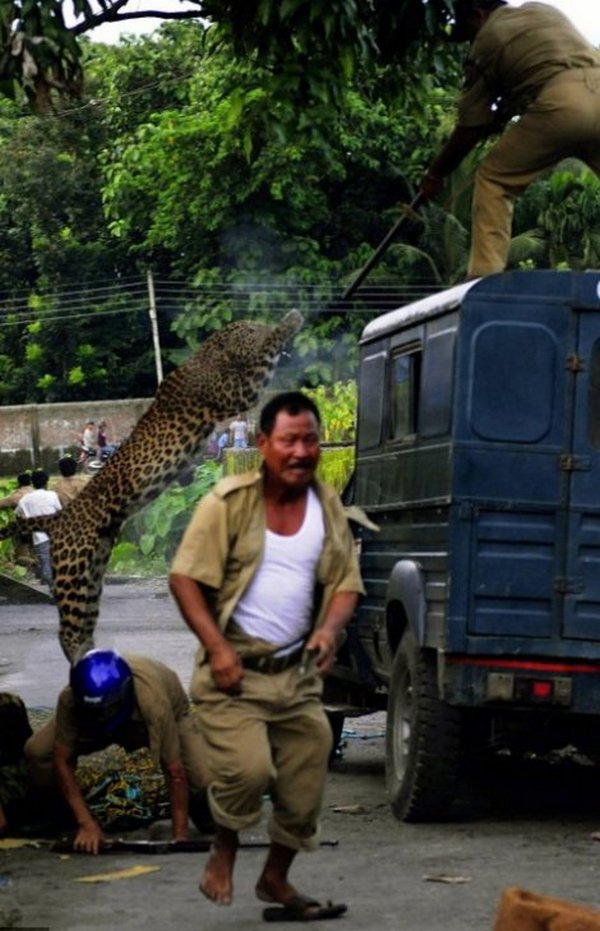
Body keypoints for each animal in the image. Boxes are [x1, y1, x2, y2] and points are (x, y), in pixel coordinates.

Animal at [4, 310, 302, 663]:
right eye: (251, 330)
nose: (262, 325)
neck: (211, 357)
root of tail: (59, 517)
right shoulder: (238, 391)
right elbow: (265, 355)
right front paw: (290, 321)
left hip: (92, 574)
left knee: (82, 622)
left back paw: (93, 656)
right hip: (73, 571)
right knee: (66, 629)